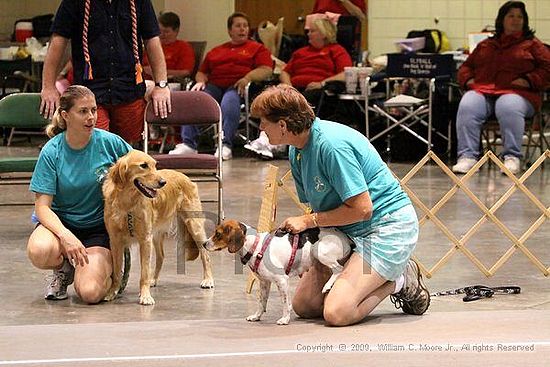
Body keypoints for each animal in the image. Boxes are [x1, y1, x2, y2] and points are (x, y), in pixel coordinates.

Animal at [205, 220, 356, 326]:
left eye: (218, 234)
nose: (203, 244)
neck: (255, 246)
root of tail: (346, 238)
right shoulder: (264, 282)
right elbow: (261, 302)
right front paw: (257, 316)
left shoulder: (282, 280)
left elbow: (285, 302)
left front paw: (285, 319)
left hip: (318, 250)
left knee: (338, 269)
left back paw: (327, 286)